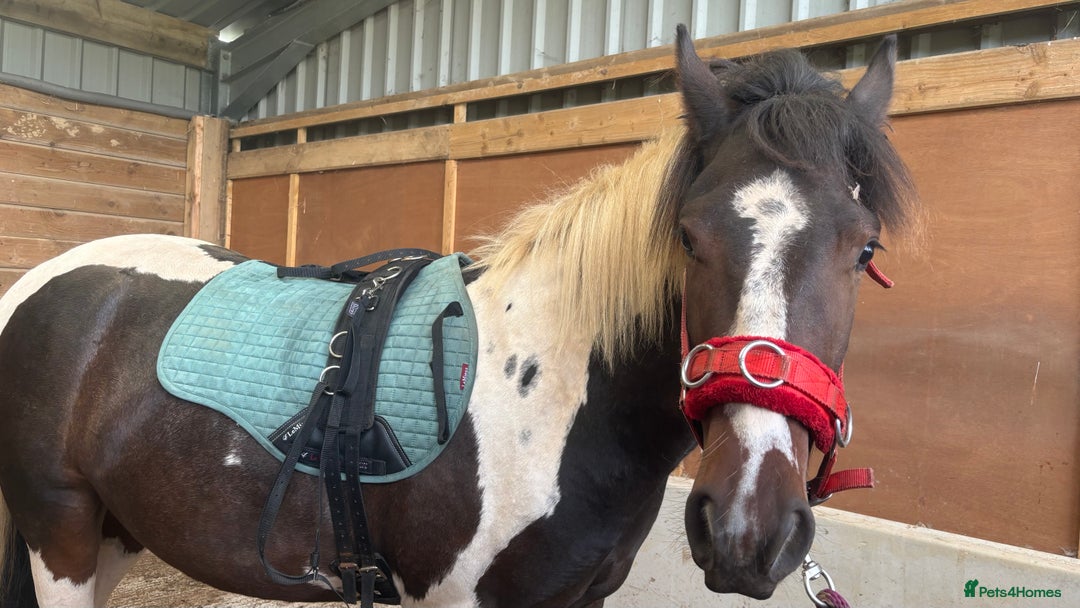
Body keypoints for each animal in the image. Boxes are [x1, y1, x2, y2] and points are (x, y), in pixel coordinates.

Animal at [0, 26, 916, 608]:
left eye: (864, 249)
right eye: (689, 237)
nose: (746, 528)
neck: (552, 395)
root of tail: (38, 281)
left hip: (112, 533)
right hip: (60, 532)